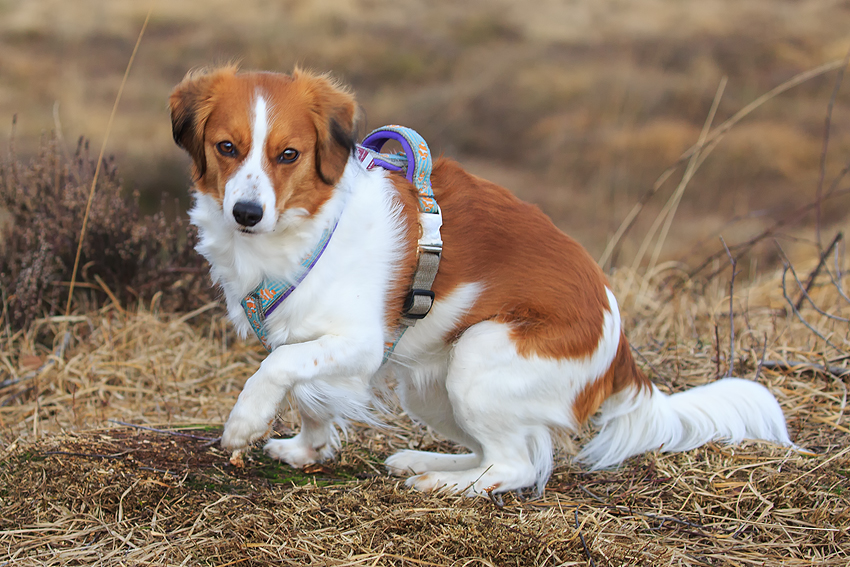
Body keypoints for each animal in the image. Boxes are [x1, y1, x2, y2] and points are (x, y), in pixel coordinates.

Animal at [169, 64, 792, 494]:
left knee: (516, 465)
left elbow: (280, 368)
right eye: (228, 147)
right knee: (497, 452)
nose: (247, 212)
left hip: (480, 353)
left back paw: (442, 483)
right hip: (432, 387)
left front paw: (245, 422)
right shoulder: (307, 335)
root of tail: (621, 353)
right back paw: (425, 461)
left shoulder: (359, 341)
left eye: (289, 155)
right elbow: (310, 395)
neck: (307, 227)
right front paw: (307, 451)